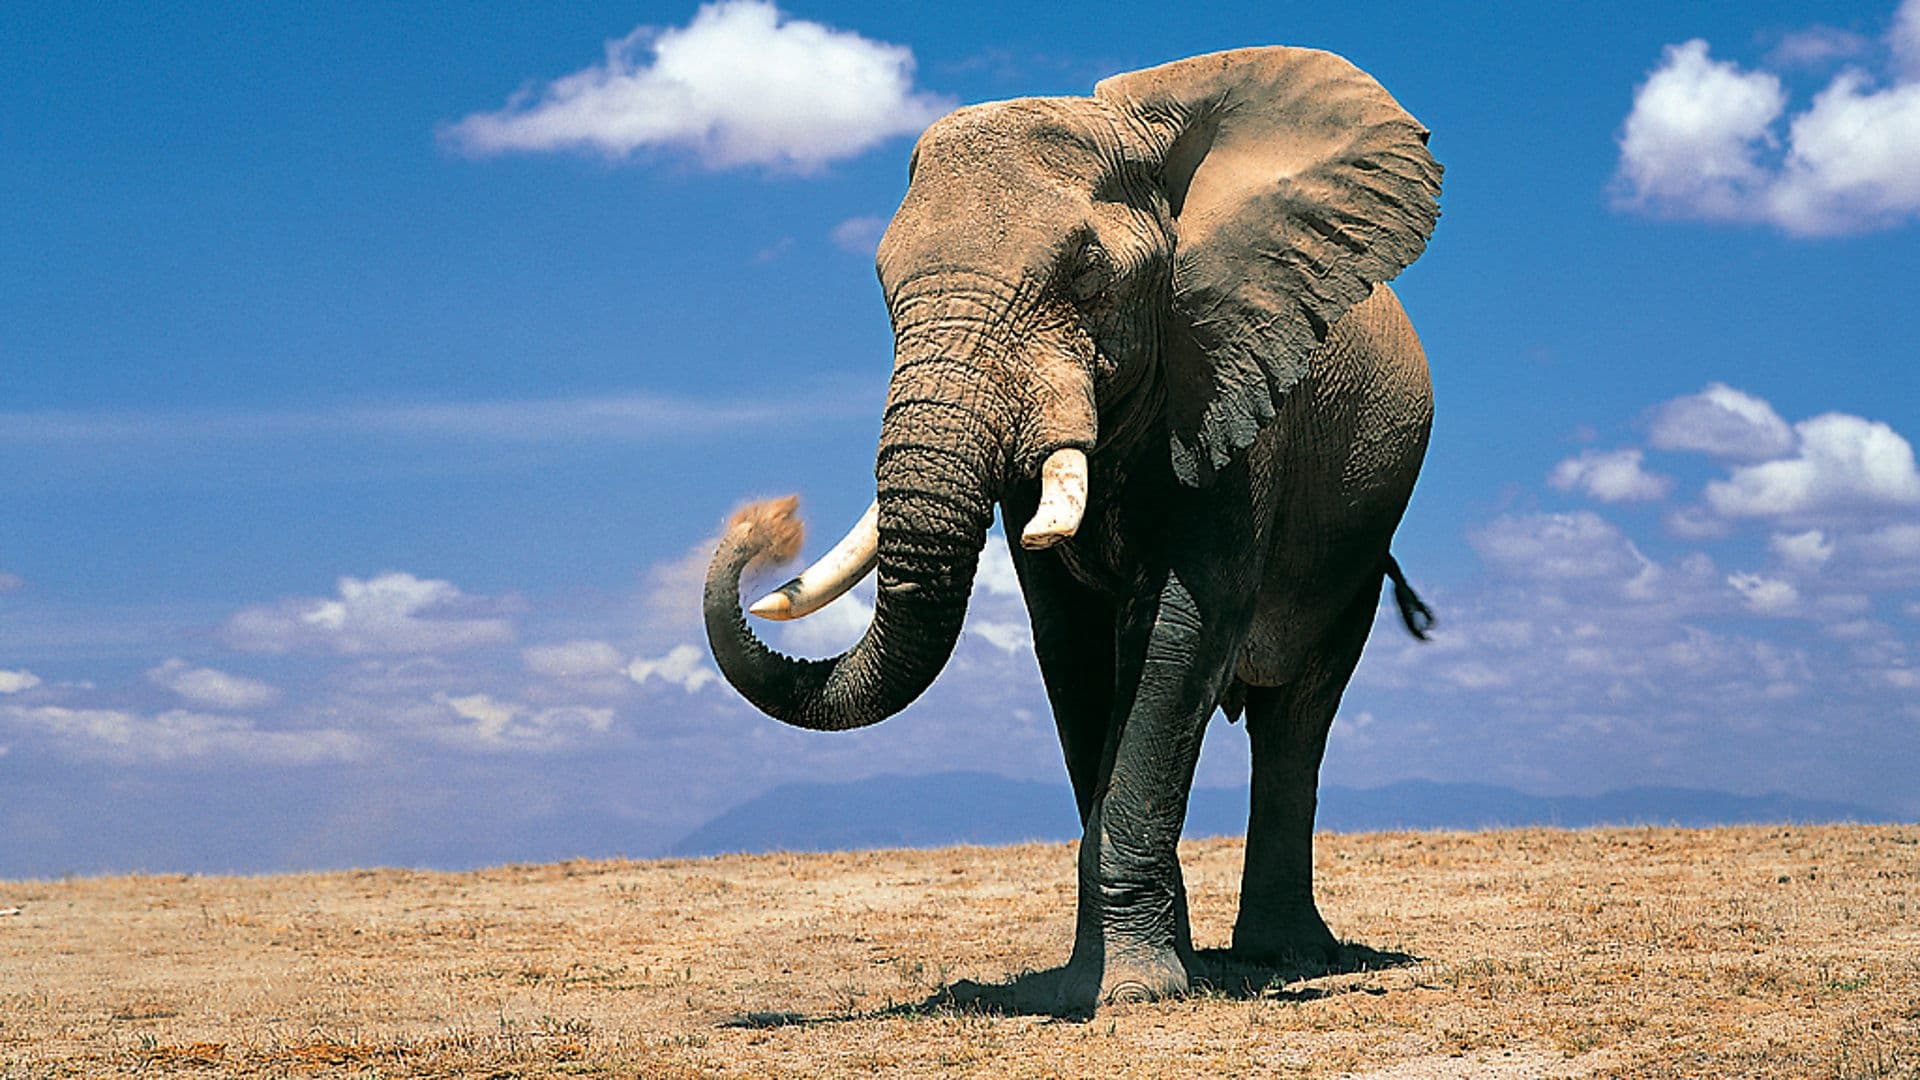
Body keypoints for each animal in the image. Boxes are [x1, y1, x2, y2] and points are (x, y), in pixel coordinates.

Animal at [703, 46, 1442, 1009]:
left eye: (1089, 278)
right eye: (883, 286)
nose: (769, 522)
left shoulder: (1233, 384)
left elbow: (1178, 632)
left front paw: (1136, 994)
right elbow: (1075, 650)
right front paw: (1096, 984)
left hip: (1360, 527)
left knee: (1297, 714)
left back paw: (1286, 956)